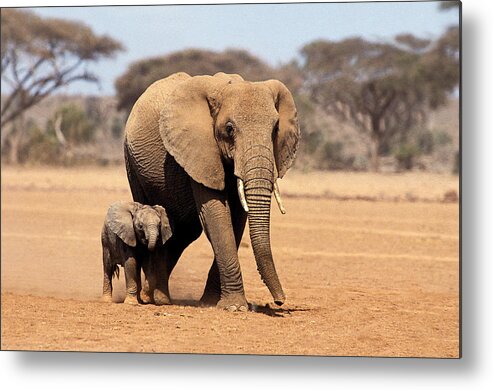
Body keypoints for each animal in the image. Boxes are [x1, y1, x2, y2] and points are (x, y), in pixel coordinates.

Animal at [124, 71, 300, 312]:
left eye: (275, 129)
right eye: (230, 129)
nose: (280, 300)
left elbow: (236, 219)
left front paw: (211, 302)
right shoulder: (199, 149)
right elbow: (216, 214)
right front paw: (234, 307)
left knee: (183, 232)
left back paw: (157, 295)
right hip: (132, 163)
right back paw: (151, 298)